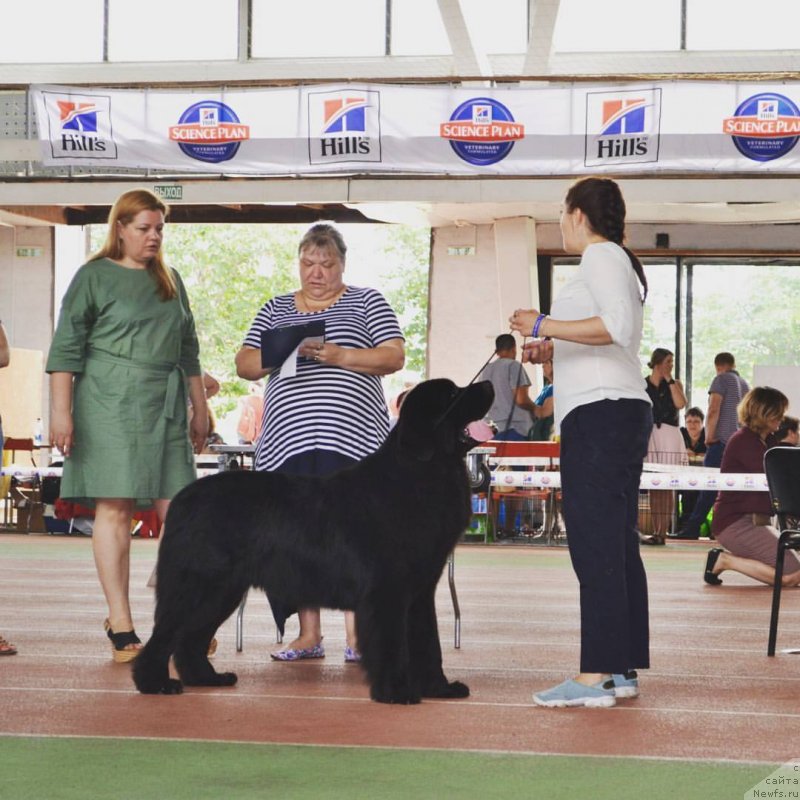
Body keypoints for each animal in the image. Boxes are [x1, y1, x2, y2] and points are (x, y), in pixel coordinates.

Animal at [133, 378, 494, 704]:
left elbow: (428, 643)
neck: (424, 471)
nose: (489, 384)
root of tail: (183, 498)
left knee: (189, 639)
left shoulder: (419, 591)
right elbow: (392, 644)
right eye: (452, 394)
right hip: (201, 583)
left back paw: (206, 678)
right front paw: (396, 692)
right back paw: (155, 683)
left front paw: (440, 689)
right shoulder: (388, 591)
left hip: (222, 590)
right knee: (167, 633)